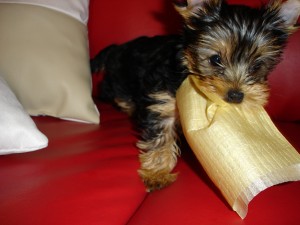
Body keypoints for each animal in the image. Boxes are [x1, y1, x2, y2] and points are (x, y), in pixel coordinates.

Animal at [91, 0, 300, 192]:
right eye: (215, 59)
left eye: (257, 66)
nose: (236, 95)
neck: (187, 66)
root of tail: (118, 47)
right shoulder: (163, 102)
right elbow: (161, 138)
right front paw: (157, 173)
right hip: (119, 78)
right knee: (112, 91)